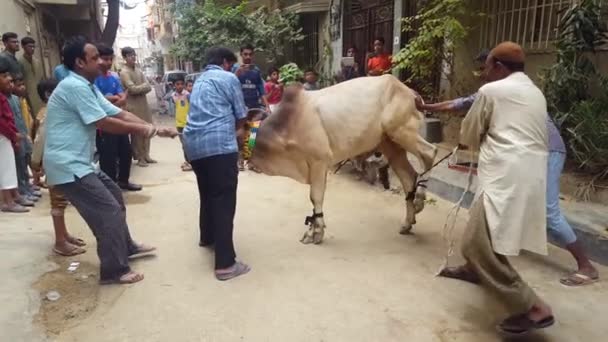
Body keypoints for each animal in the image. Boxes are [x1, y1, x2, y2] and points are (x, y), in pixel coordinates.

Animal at [248, 76, 436, 244]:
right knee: (408, 178)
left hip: (401, 131)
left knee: (429, 153)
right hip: (391, 144)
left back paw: (419, 198)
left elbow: (315, 197)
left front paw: (316, 233)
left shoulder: (319, 161)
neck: (287, 124)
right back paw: (407, 222)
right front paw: (314, 229)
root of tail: (411, 92)